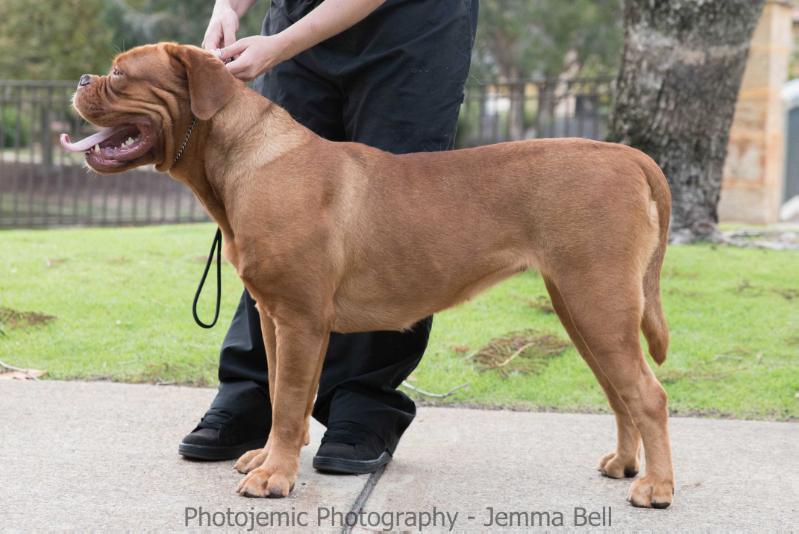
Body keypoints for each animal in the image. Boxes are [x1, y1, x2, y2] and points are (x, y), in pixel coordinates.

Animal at [61, 44, 676, 508]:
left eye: (121, 74)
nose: (84, 77)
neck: (238, 157)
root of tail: (628, 155)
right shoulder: (275, 317)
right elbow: (284, 394)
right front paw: (270, 457)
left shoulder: (302, 319)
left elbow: (290, 400)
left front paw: (274, 476)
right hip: (583, 308)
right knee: (620, 393)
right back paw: (625, 463)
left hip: (598, 302)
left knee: (648, 395)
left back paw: (657, 487)